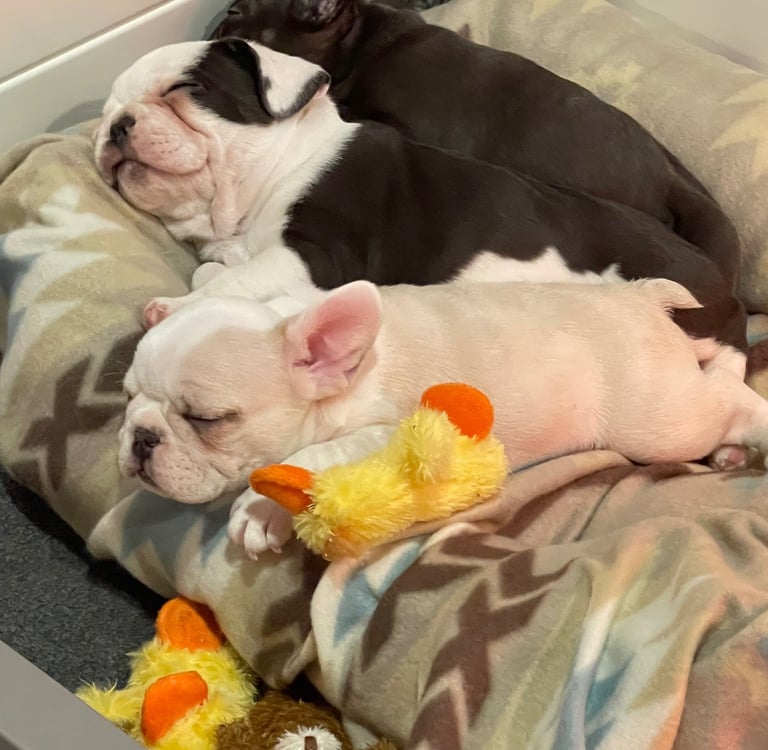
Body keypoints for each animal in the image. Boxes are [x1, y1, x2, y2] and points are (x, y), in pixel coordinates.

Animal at [93, 38, 745, 348]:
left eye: (185, 89)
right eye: (105, 112)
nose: (117, 124)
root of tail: (723, 284)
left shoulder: (315, 257)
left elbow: (232, 283)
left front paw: (171, 309)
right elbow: (215, 273)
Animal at [120, 277, 766, 558]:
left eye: (207, 419)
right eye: (126, 397)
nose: (140, 438)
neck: (348, 371)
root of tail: (639, 296)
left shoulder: (391, 433)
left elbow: (309, 456)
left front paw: (257, 507)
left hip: (658, 420)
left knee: (730, 390)